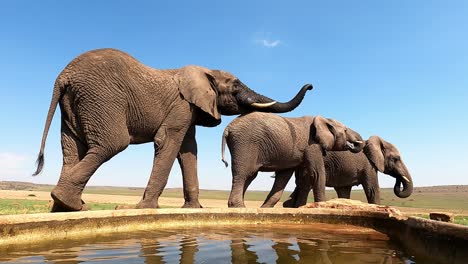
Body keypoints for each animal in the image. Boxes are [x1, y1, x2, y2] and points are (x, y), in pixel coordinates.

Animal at [32, 48, 310, 211]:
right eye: (235, 86)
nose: (311, 85)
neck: (204, 71)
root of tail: (62, 77)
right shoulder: (180, 105)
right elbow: (168, 142)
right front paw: (145, 208)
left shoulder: (188, 109)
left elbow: (188, 150)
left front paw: (193, 209)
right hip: (100, 97)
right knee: (112, 143)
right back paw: (69, 203)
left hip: (74, 105)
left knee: (71, 148)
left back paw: (64, 208)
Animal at [220, 112, 366, 207]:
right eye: (345, 130)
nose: (355, 143)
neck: (324, 119)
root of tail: (227, 128)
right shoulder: (312, 145)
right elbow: (317, 173)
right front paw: (322, 206)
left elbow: (286, 176)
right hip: (245, 143)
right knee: (245, 173)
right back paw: (238, 207)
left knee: (249, 176)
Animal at [278, 136, 414, 206]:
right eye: (396, 159)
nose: (398, 180)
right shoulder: (368, 166)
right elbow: (372, 190)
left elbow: (344, 192)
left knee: (303, 185)